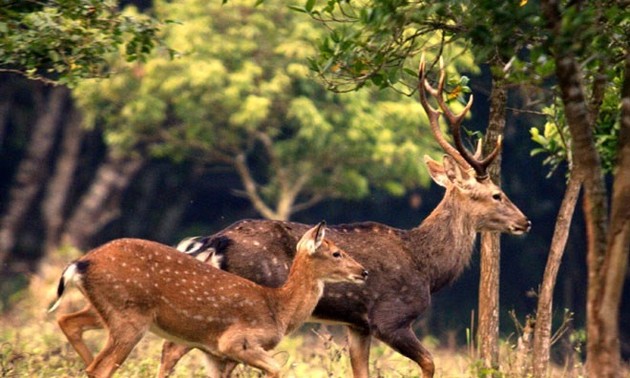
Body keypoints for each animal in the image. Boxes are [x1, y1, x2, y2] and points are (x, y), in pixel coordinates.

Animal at [49, 221, 368, 378]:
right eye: (337, 253)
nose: (363, 271)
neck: (279, 310)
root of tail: (80, 263)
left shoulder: (215, 353)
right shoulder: (237, 341)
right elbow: (279, 367)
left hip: (109, 311)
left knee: (70, 324)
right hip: (129, 316)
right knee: (100, 367)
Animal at [154, 56, 532, 378]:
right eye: (496, 193)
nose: (525, 221)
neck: (426, 267)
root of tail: (214, 240)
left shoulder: (357, 325)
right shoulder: (389, 318)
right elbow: (429, 363)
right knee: (175, 349)